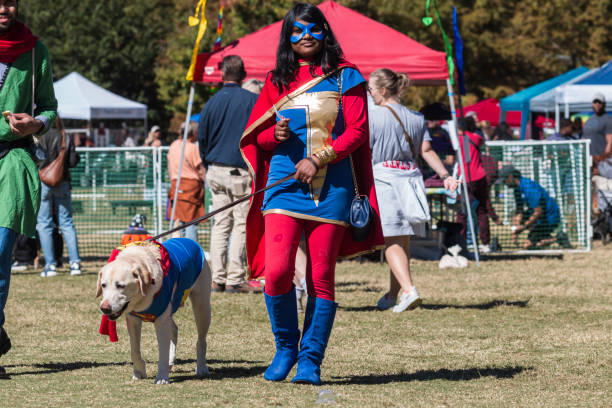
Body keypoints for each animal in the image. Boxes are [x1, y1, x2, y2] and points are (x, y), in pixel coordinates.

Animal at [95, 237, 210, 384]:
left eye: (120, 286)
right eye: (103, 285)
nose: (104, 308)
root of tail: (189, 240)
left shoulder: (161, 320)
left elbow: (162, 352)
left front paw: (161, 378)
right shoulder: (133, 319)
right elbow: (134, 350)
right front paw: (139, 372)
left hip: (202, 307)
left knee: (201, 340)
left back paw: (201, 367)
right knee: (174, 329)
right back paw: (171, 361)